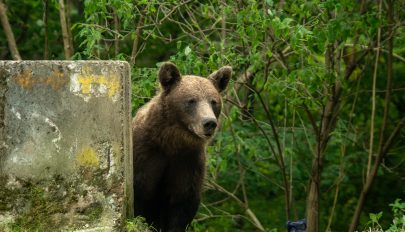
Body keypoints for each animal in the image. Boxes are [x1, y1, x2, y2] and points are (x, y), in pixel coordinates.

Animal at [133, 62, 230, 232]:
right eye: (191, 100)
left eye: (213, 101)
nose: (209, 123)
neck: (172, 142)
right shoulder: (145, 155)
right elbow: (141, 195)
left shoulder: (188, 161)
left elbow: (182, 203)